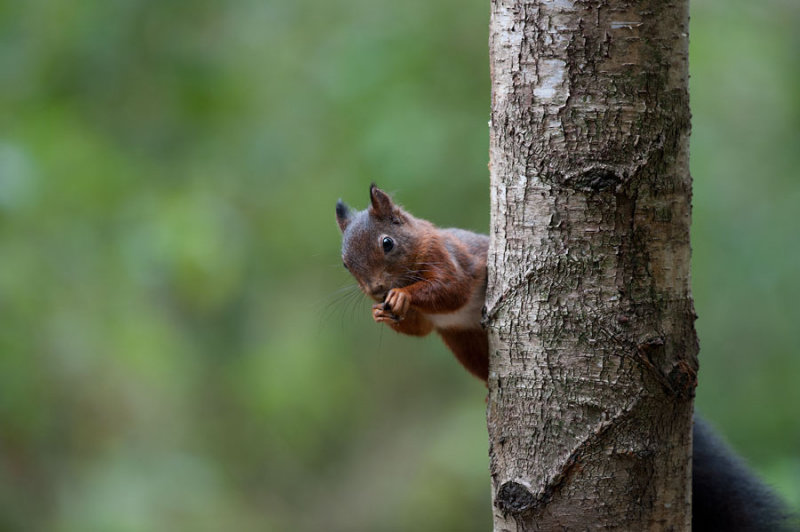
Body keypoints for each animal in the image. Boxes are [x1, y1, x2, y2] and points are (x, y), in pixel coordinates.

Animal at [336, 185, 490, 380]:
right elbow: (418, 328)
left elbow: (454, 288)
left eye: (387, 243)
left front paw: (402, 295)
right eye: (345, 264)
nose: (375, 289)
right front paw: (378, 312)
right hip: (466, 343)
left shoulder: (442, 255)